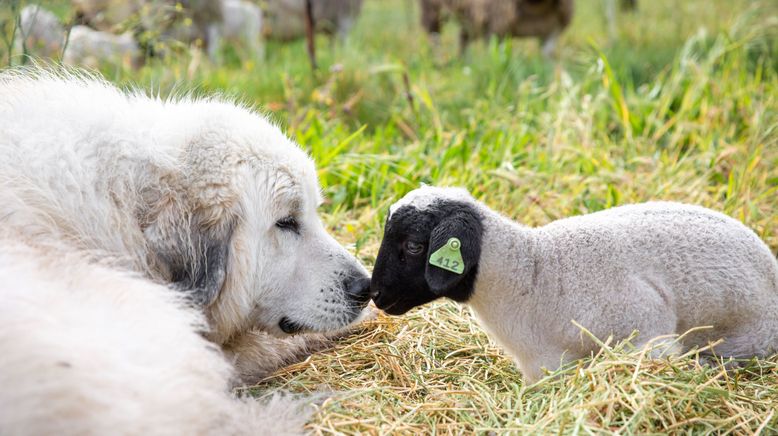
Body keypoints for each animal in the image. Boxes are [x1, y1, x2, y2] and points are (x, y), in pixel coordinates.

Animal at [422, 0, 572, 57]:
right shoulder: (496, 27)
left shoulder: (553, 29)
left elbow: (548, 54)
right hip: (433, 9)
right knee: (434, 35)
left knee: (463, 36)